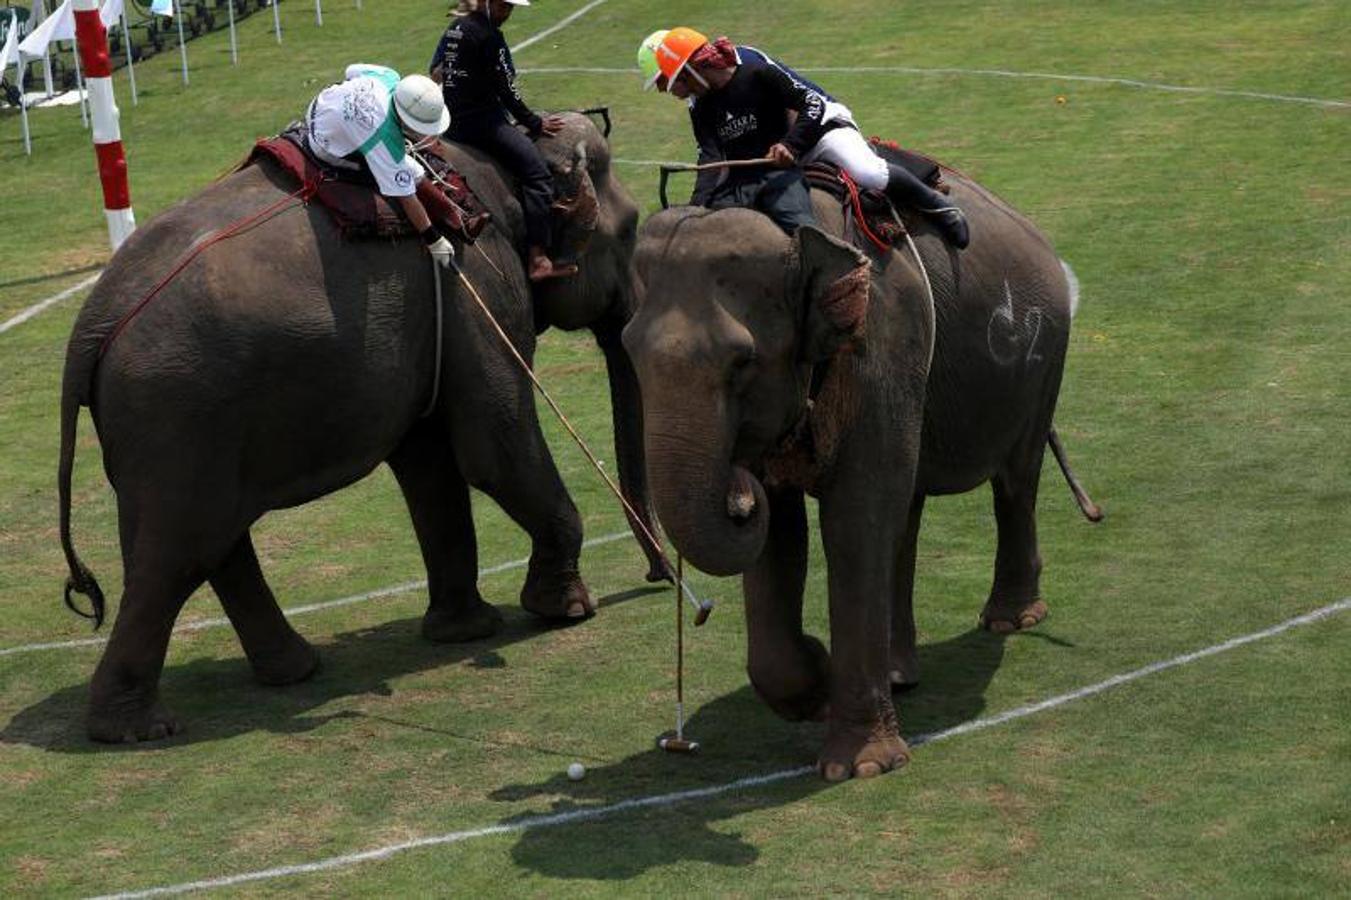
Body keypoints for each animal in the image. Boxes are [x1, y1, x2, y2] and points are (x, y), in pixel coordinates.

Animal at [56, 112, 662, 743]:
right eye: (631, 229)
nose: (658, 575)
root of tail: (90, 330)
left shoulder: (443, 315)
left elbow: (430, 466)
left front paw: (465, 631)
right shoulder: (475, 277)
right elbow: (493, 447)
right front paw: (566, 611)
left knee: (212, 545)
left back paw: (294, 671)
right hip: (178, 416)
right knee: (177, 556)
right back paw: (135, 730)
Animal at [623, 174, 1087, 782]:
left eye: (742, 362)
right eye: (628, 351)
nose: (739, 490)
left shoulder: (882, 344)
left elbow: (854, 520)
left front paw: (860, 766)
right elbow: (783, 536)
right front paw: (817, 684)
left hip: (1043, 356)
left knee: (1014, 481)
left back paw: (1010, 621)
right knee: (907, 509)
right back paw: (898, 675)